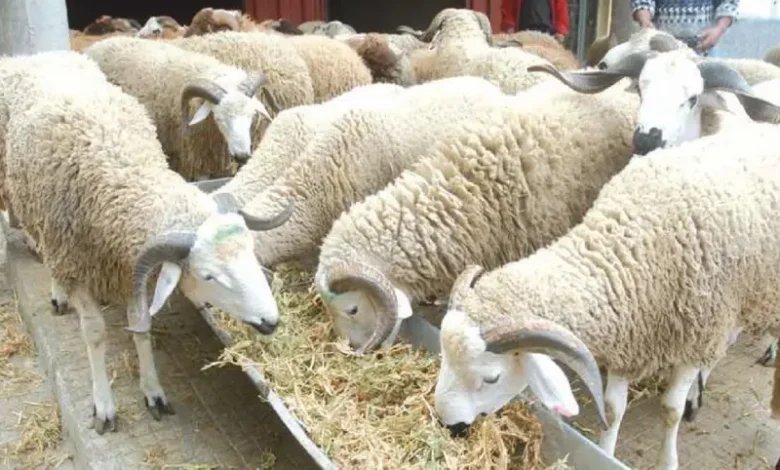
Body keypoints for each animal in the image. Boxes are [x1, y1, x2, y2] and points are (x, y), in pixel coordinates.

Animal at [433, 120, 780, 470]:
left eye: (491, 378)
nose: (449, 427)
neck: (632, 248)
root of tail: (767, 128)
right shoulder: (629, 338)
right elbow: (613, 412)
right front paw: (606, 452)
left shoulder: (698, 338)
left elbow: (671, 410)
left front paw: (667, 460)